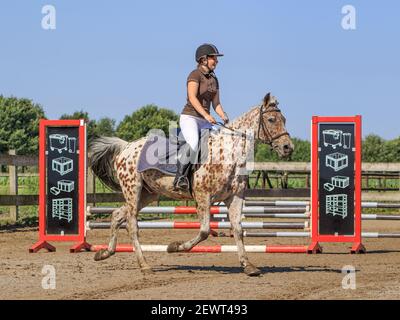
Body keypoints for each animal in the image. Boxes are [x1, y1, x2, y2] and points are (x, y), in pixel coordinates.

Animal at [88, 92, 294, 276]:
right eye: (271, 119)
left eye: (284, 118)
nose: (288, 148)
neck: (229, 154)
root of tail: (126, 147)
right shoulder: (203, 197)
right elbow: (204, 231)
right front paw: (174, 247)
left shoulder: (234, 197)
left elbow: (238, 229)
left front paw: (248, 265)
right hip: (133, 190)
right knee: (131, 225)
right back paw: (144, 265)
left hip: (148, 194)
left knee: (116, 215)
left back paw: (104, 253)